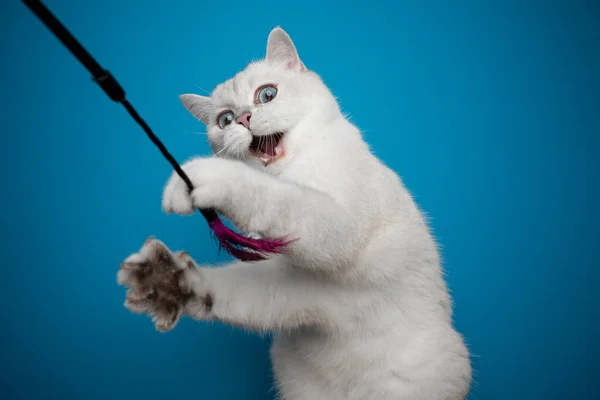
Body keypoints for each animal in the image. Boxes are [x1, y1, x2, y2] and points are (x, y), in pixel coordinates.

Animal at [117, 26, 474, 398]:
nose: (243, 119)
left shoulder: (337, 224)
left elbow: (276, 196)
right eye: (224, 120)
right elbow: (232, 288)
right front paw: (167, 283)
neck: (291, 172)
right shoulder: (294, 288)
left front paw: (205, 175)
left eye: (267, 94)